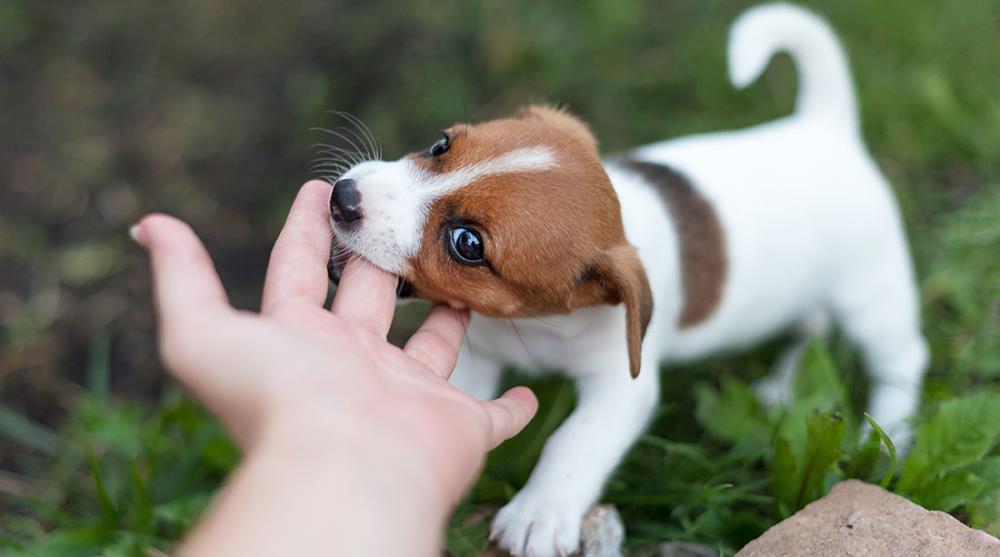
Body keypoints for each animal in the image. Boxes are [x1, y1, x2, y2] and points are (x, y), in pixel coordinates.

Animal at [324, 4, 924, 556]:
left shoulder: (621, 386)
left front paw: (540, 512)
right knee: (811, 326)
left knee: (902, 357)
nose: (342, 197)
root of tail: (825, 129)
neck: (537, 324)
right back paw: (784, 385)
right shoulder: (477, 351)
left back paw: (884, 431)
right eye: (441, 145)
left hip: (872, 296)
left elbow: (573, 441)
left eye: (467, 244)